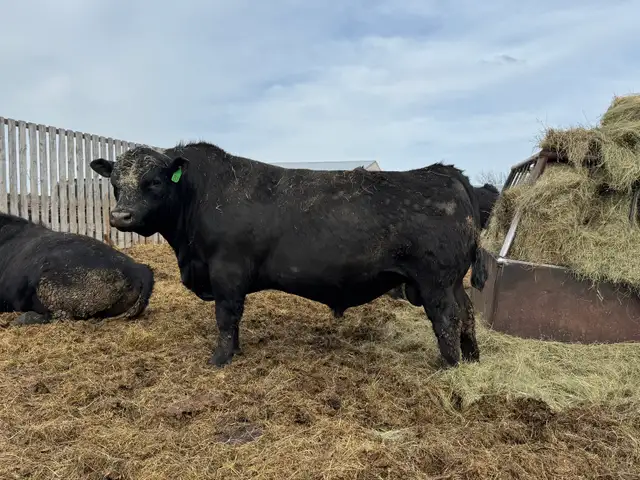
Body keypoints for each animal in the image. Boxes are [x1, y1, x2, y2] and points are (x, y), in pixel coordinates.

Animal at [90, 141, 487, 368]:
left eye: (154, 181)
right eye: (115, 184)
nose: (120, 216)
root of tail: (444, 173)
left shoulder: (227, 272)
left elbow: (226, 317)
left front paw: (219, 359)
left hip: (436, 282)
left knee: (448, 319)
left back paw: (449, 366)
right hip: (453, 282)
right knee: (468, 314)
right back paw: (472, 359)